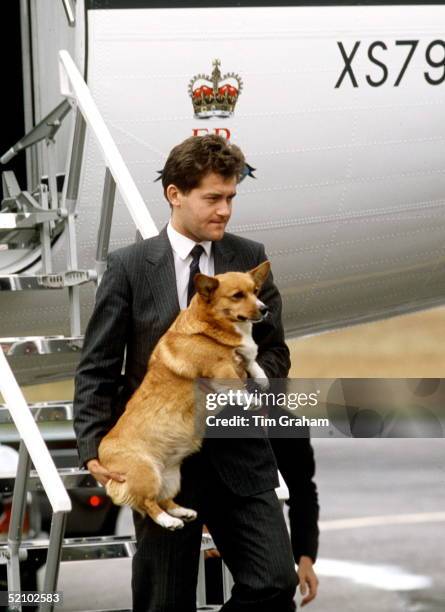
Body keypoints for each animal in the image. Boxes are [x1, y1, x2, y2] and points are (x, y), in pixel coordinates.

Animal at [98, 260, 268, 528]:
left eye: (256, 291)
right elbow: (235, 383)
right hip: (147, 474)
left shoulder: (243, 356)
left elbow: (252, 363)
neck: (211, 328)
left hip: (171, 476)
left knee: (164, 499)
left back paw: (182, 512)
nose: (265, 309)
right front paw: (249, 399)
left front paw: (262, 378)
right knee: (148, 503)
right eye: (237, 295)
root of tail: (103, 456)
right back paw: (168, 521)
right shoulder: (220, 368)